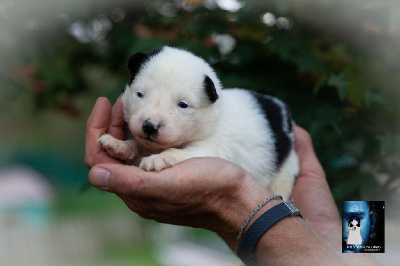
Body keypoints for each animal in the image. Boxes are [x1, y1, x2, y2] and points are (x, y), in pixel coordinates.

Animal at [98, 46, 298, 200]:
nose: (149, 126)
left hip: (286, 170)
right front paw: (119, 145)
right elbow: (135, 146)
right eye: (140, 94)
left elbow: (179, 152)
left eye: (183, 105)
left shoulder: (208, 150)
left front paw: (159, 158)